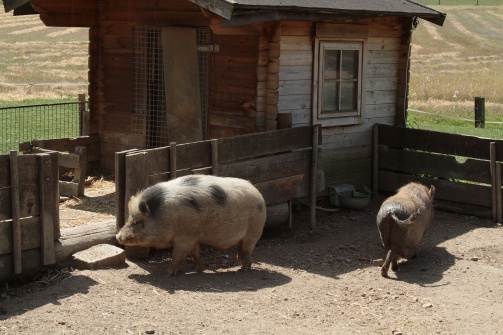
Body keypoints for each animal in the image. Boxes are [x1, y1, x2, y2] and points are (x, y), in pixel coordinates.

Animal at [116, 175, 268, 276]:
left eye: (138, 222)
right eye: (130, 219)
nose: (117, 236)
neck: (164, 215)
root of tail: (259, 195)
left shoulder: (185, 237)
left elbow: (177, 254)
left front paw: (168, 272)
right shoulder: (193, 236)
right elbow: (195, 253)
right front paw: (192, 270)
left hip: (253, 231)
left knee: (248, 250)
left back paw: (243, 269)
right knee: (241, 249)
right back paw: (242, 264)